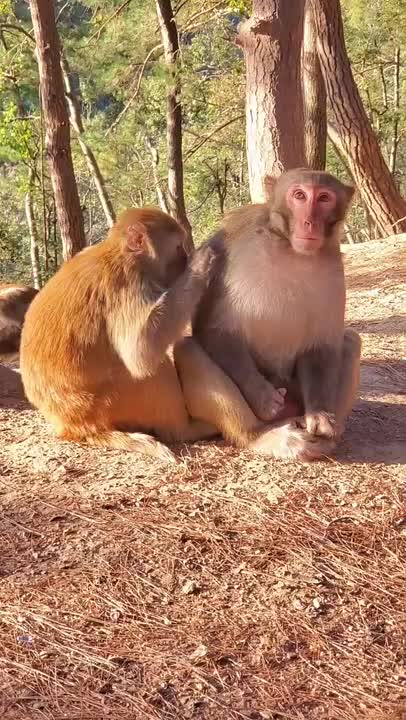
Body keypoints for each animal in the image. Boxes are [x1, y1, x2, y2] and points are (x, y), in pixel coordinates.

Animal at [20, 207, 225, 462]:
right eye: (178, 247)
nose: (185, 258)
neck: (120, 254)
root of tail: (76, 425)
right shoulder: (127, 284)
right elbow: (140, 352)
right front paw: (201, 263)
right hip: (110, 402)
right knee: (151, 367)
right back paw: (183, 430)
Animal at [175, 168, 362, 460]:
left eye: (324, 198)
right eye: (299, 195)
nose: (309, 222)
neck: (290, 249)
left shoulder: (333, 267)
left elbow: (322, 344)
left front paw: (320, 416)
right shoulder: (233, 247)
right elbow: (214, 328)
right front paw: (261, 395)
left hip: (296, 397)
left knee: (351, 341)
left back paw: (326, 439)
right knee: (188, 349)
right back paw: (261, 436)